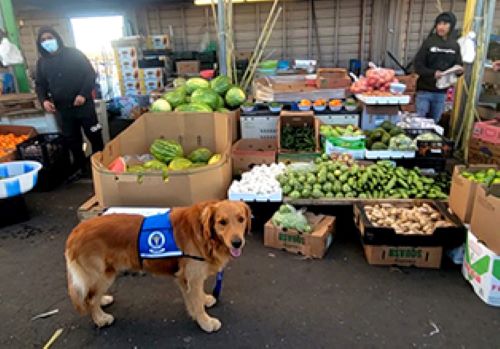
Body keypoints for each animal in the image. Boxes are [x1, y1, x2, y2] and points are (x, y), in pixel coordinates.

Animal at [65, 198, 252, 332]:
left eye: (241, 219)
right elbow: (197, 303)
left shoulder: (186, 277)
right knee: (89, 299)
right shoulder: (192, 276)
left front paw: (204, 300)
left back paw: (103, 300)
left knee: (92, 296)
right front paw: (206, 322)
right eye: (222, 222)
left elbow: (196, 298)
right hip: (103, 274)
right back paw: (101, 319)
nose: (237, 243)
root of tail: (75, 233)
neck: (204, 234)